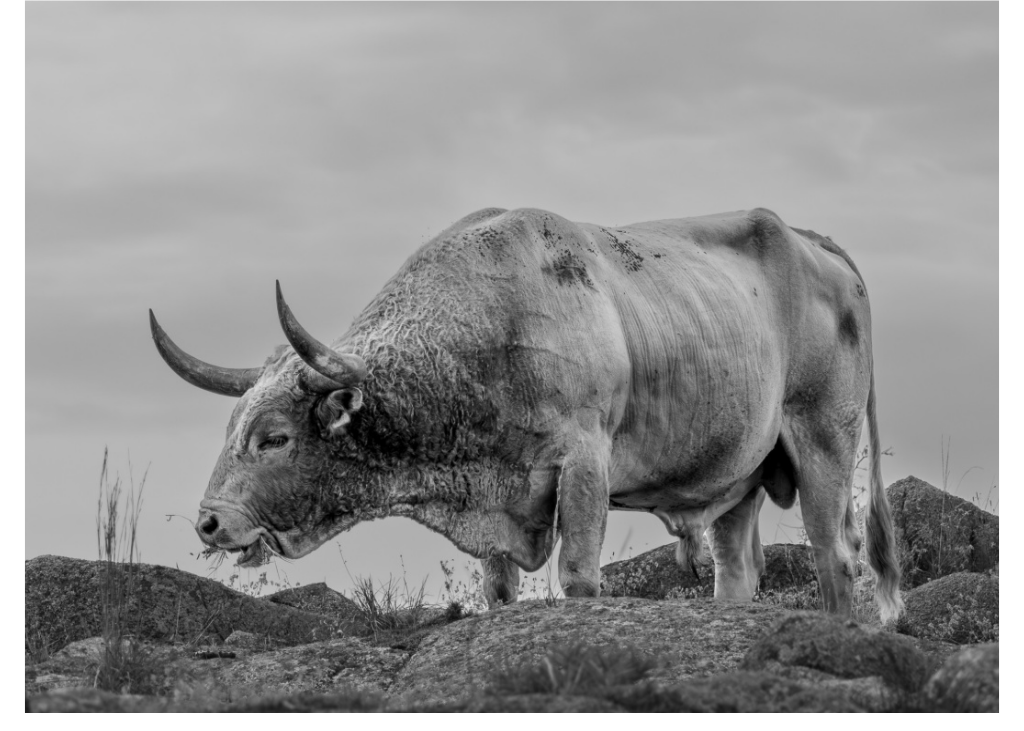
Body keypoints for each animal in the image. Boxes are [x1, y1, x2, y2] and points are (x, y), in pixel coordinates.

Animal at [150, 207, 903, 622]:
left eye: (273, 437)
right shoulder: (496, 499)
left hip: (824, 443)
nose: (209, 523)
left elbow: (578, 576)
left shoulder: (585, 462)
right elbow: (499, 587)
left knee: (837, 560)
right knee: (737, 572)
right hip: (737, 478)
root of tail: (807, 239)